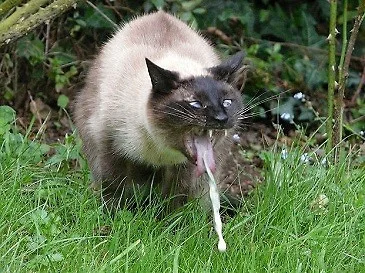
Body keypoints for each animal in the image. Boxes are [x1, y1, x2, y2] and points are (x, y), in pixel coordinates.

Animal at [73, 10, 246, 208]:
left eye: (227, 102)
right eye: (195, 104)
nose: (221, 118)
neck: (160, 150)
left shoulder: (182, 170)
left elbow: (174, 204)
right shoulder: (111, 149)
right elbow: (113, 191)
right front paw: (113, 215)